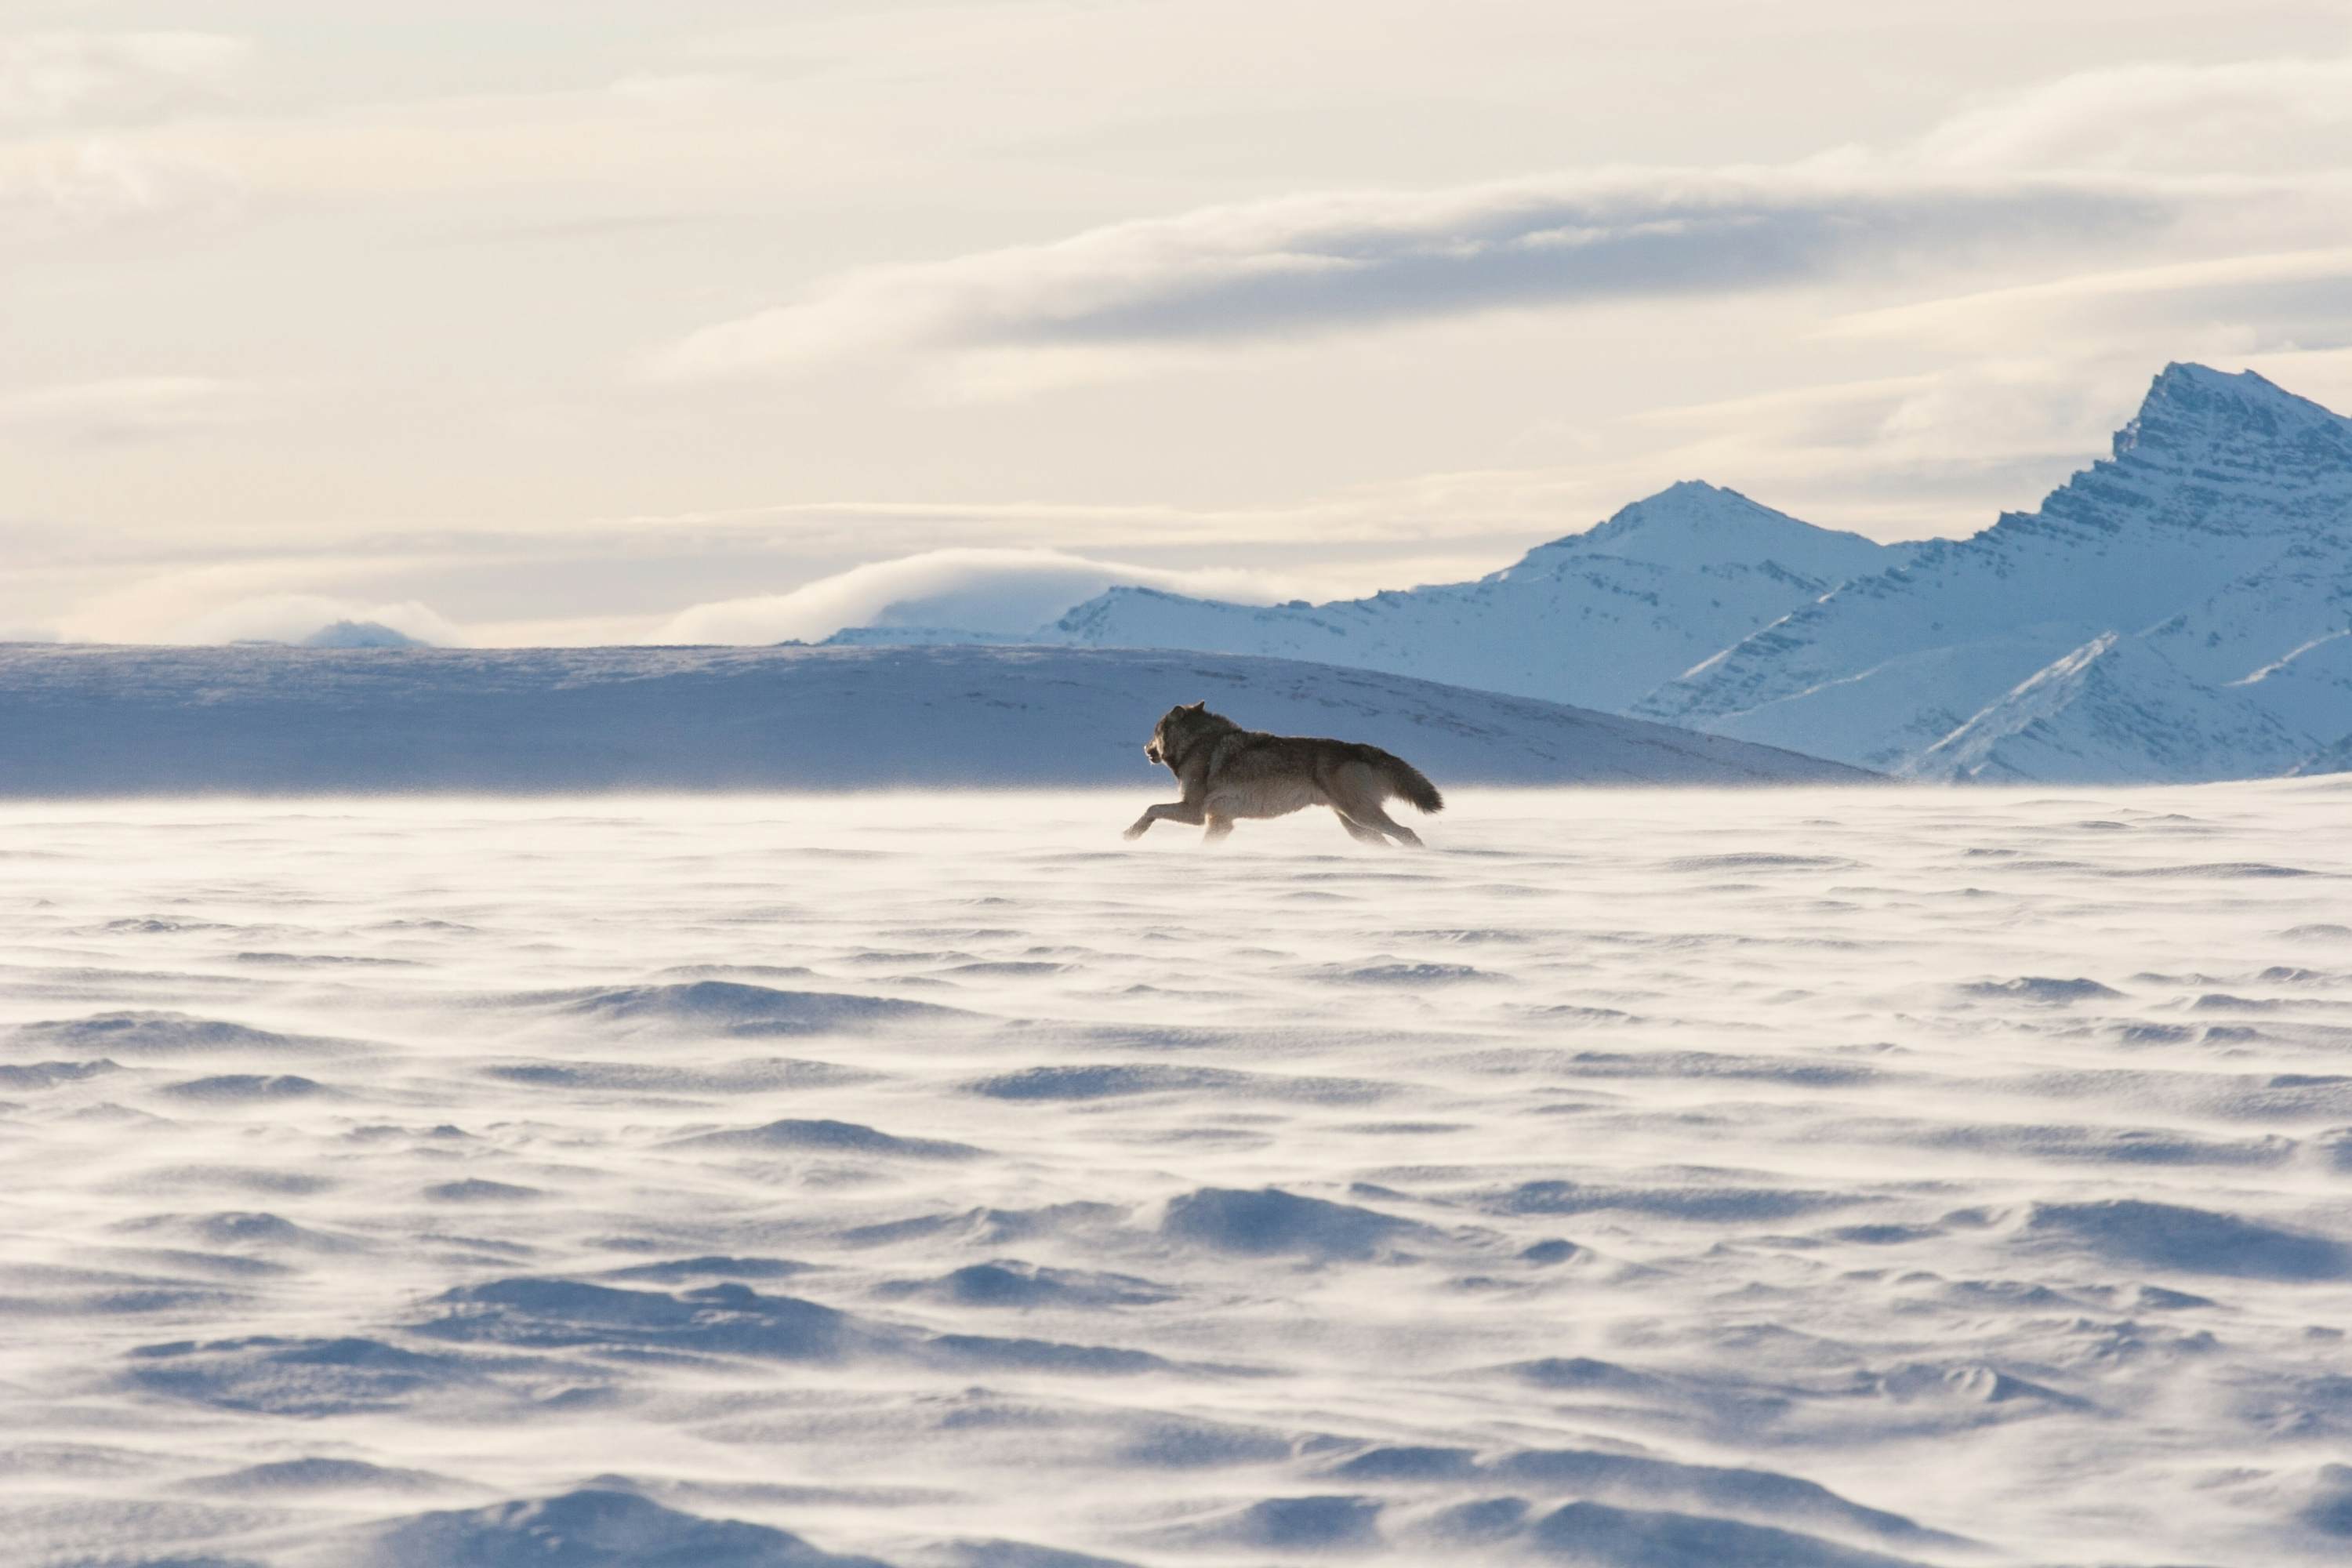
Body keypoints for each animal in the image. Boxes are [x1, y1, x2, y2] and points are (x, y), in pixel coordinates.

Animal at [1123, 701, 1445, 846]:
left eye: (1154, 733)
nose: (1145, 748)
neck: (1197, 744)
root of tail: (1361, 748)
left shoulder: (1195, 812)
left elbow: (1151, 808)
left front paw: (1131, 834)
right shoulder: (1220, 820)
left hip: (1361, 816)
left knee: (1407, 833)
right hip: (1355, 826)